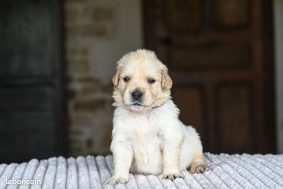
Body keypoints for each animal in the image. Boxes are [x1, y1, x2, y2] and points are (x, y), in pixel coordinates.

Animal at [106, 49, 206, 185]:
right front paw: (118, 177)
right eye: (126, 79)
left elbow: (170, 157)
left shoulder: (169, 136)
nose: (136, 94)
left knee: (198, 156)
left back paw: (199, 166)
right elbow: (121, 161)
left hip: (195, 139)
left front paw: (171, 173)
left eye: (151, 80)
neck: (143, 113)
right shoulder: (122, 140)